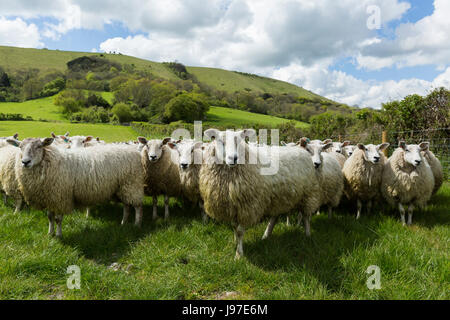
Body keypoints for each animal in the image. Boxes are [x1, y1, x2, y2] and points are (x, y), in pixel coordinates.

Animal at [7, 138, 144, 238]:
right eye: (20, 147)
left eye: (39, 147)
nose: (25, 162)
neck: (51, 162)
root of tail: (134, 152)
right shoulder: (50, 197)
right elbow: (50, 217)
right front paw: (50, 233)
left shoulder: (61, 197)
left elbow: (58, 219)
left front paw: (58, 235)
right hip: (124, 188)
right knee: (127, 205)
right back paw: (123, 223)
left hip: (133, 184)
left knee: (137, 206)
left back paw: (137, 225)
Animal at [200, 129, 320, 258]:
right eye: (221, 141)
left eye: (240, 141)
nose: (234, 158)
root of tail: (301, 149)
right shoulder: (233, 206)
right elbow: (234, 227)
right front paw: (235, 241)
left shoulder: (248, 207)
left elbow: (240, 231)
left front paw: (239, 254)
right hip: (279, 197)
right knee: (275, 217)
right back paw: (266, 235)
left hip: (308, 193)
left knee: (306, 216)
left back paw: (307, 235)